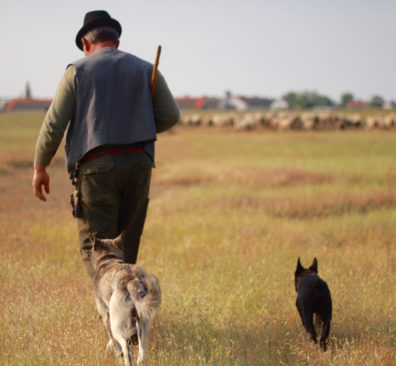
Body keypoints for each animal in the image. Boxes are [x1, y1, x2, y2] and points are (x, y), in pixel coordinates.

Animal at [90, 233, 162, 364]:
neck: (109, 258)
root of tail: (131, 279)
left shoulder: (106, 317)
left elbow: (114, 344)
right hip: (142, 326)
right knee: (141, 356)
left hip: (116, 325)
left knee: (125, 348)